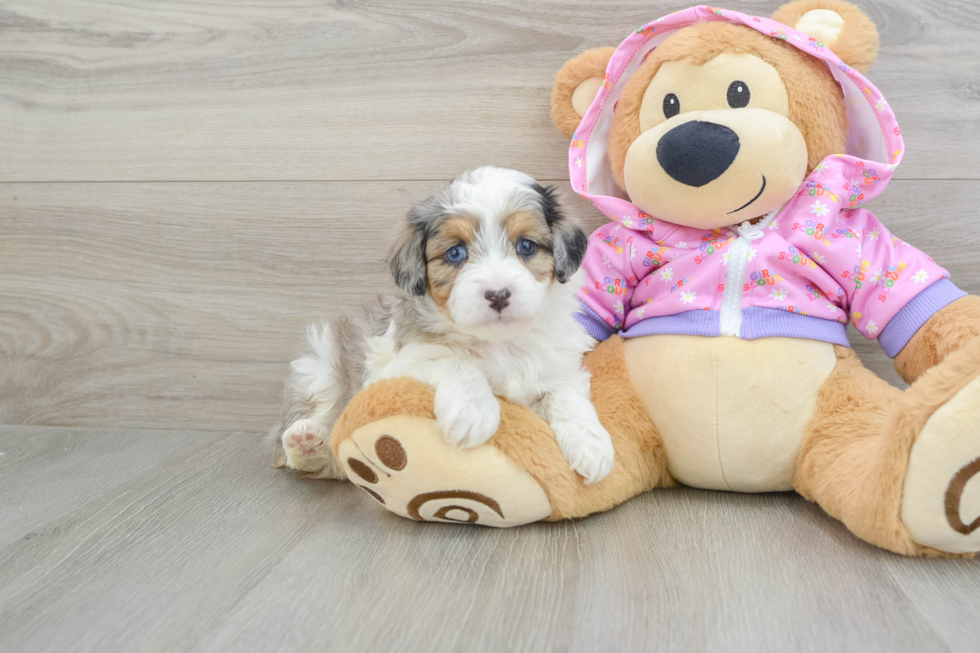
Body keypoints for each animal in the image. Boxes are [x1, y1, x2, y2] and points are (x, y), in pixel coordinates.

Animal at [272, 167, 616, 484]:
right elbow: (454, 361)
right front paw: (473, 412)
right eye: (455, 253)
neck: (499, 343)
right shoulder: (401, 364)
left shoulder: (560, 366)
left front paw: (591, 444)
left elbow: (567, 394)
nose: (498, 294)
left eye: (526, 247)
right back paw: (306, 441)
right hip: (318, 365)